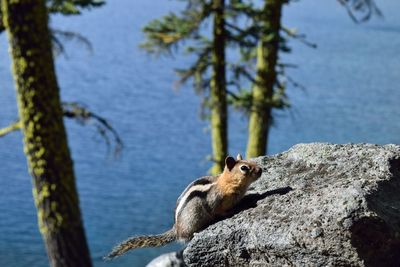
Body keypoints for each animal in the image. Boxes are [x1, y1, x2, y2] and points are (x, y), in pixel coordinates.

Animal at [106, 155, 262, 260]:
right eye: (244, 168)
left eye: (252, 161)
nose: (261, 169)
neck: (226, 183)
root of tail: (177, 229)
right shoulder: (216, 200)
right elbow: (220, 211)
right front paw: (233, 210)